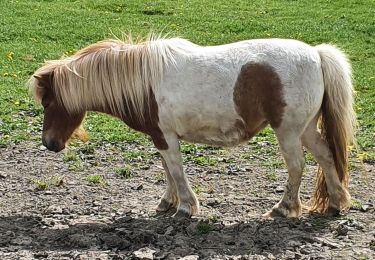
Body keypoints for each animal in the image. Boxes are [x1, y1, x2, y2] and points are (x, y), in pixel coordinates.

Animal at [30, 34, 358, 217]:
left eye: (47, 103)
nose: (49, 143)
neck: (143, 81)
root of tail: (316, 54)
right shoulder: (161, 137)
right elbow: (167, 171)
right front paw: (167, 203)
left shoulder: (166, 137)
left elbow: (176, 171)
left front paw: (186, 207)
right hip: (305, 129)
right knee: (326, 156)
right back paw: (336, 203)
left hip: (288, 131)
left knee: (297, 167)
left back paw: (284, 208)